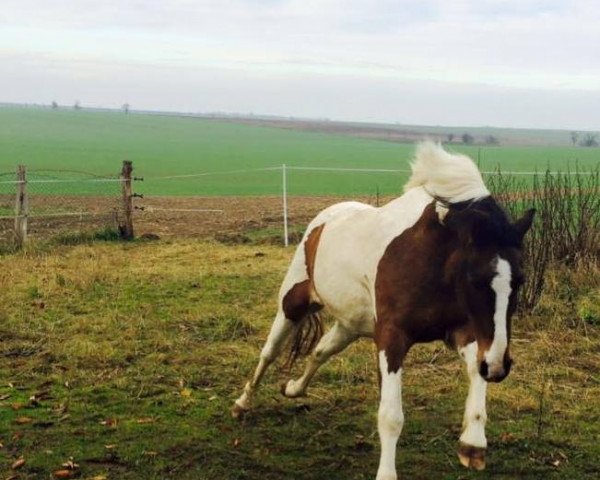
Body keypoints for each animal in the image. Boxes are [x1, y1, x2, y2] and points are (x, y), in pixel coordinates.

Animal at [233, 142, 536, 480]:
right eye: (475, 279)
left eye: (520, 280)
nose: (499, 367)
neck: (428, 257)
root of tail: (322, 221)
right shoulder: (392, 338)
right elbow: (391, 416)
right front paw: (387, 473)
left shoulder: (463, 333)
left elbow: (475, 371)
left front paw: (473, 445)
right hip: (292, 303)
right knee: (270, 352)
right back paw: (242, 403)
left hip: (350, 324)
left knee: (320, 351)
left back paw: (293, 389)